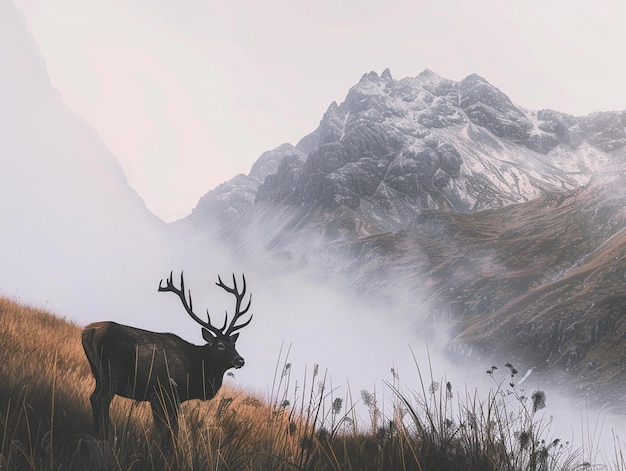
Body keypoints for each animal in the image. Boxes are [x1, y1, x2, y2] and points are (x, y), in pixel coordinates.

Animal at [81, 272, 251, 442]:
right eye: (220, 345)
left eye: (234, 344)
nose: (240, 360)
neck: (194, 371)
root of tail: (89, 332)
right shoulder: (167, 391)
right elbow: (171, 429)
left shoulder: (157, 397)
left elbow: (162, 427)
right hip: (113, 371)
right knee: (101, 400)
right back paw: (106, 438)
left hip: (99, 374)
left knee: (93, 398)